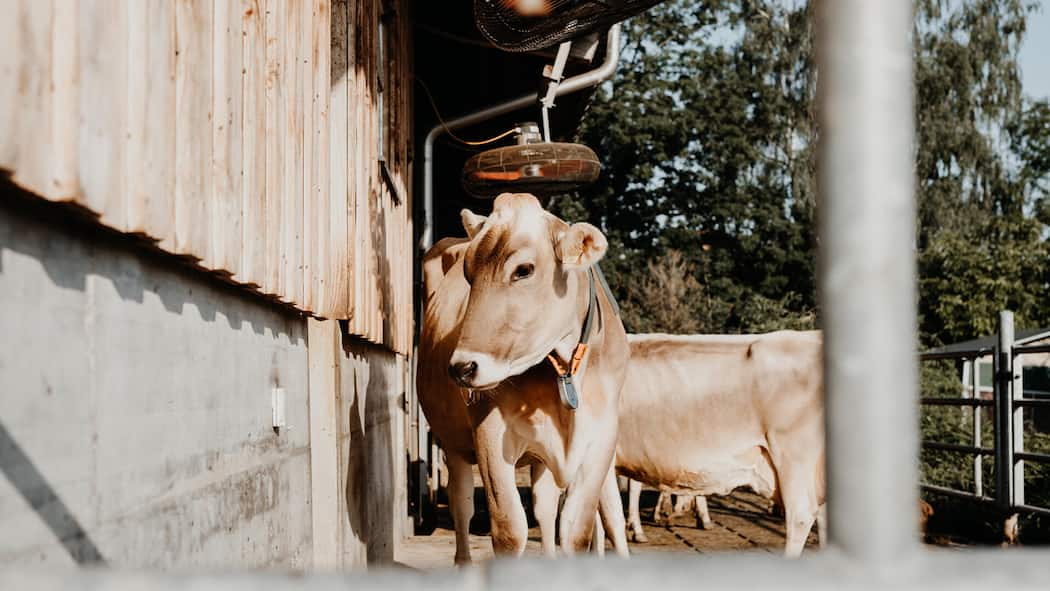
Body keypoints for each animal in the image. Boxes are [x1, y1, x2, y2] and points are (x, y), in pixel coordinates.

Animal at [417, 192, 631, 562]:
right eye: (468, 273)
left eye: (523, 270)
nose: (462, 368)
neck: (565, 371)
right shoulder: (489, 432)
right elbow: (509, 530)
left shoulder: (602, 436)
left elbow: (574, 531)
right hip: (453, 443)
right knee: (462, 508)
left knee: (546, 509)